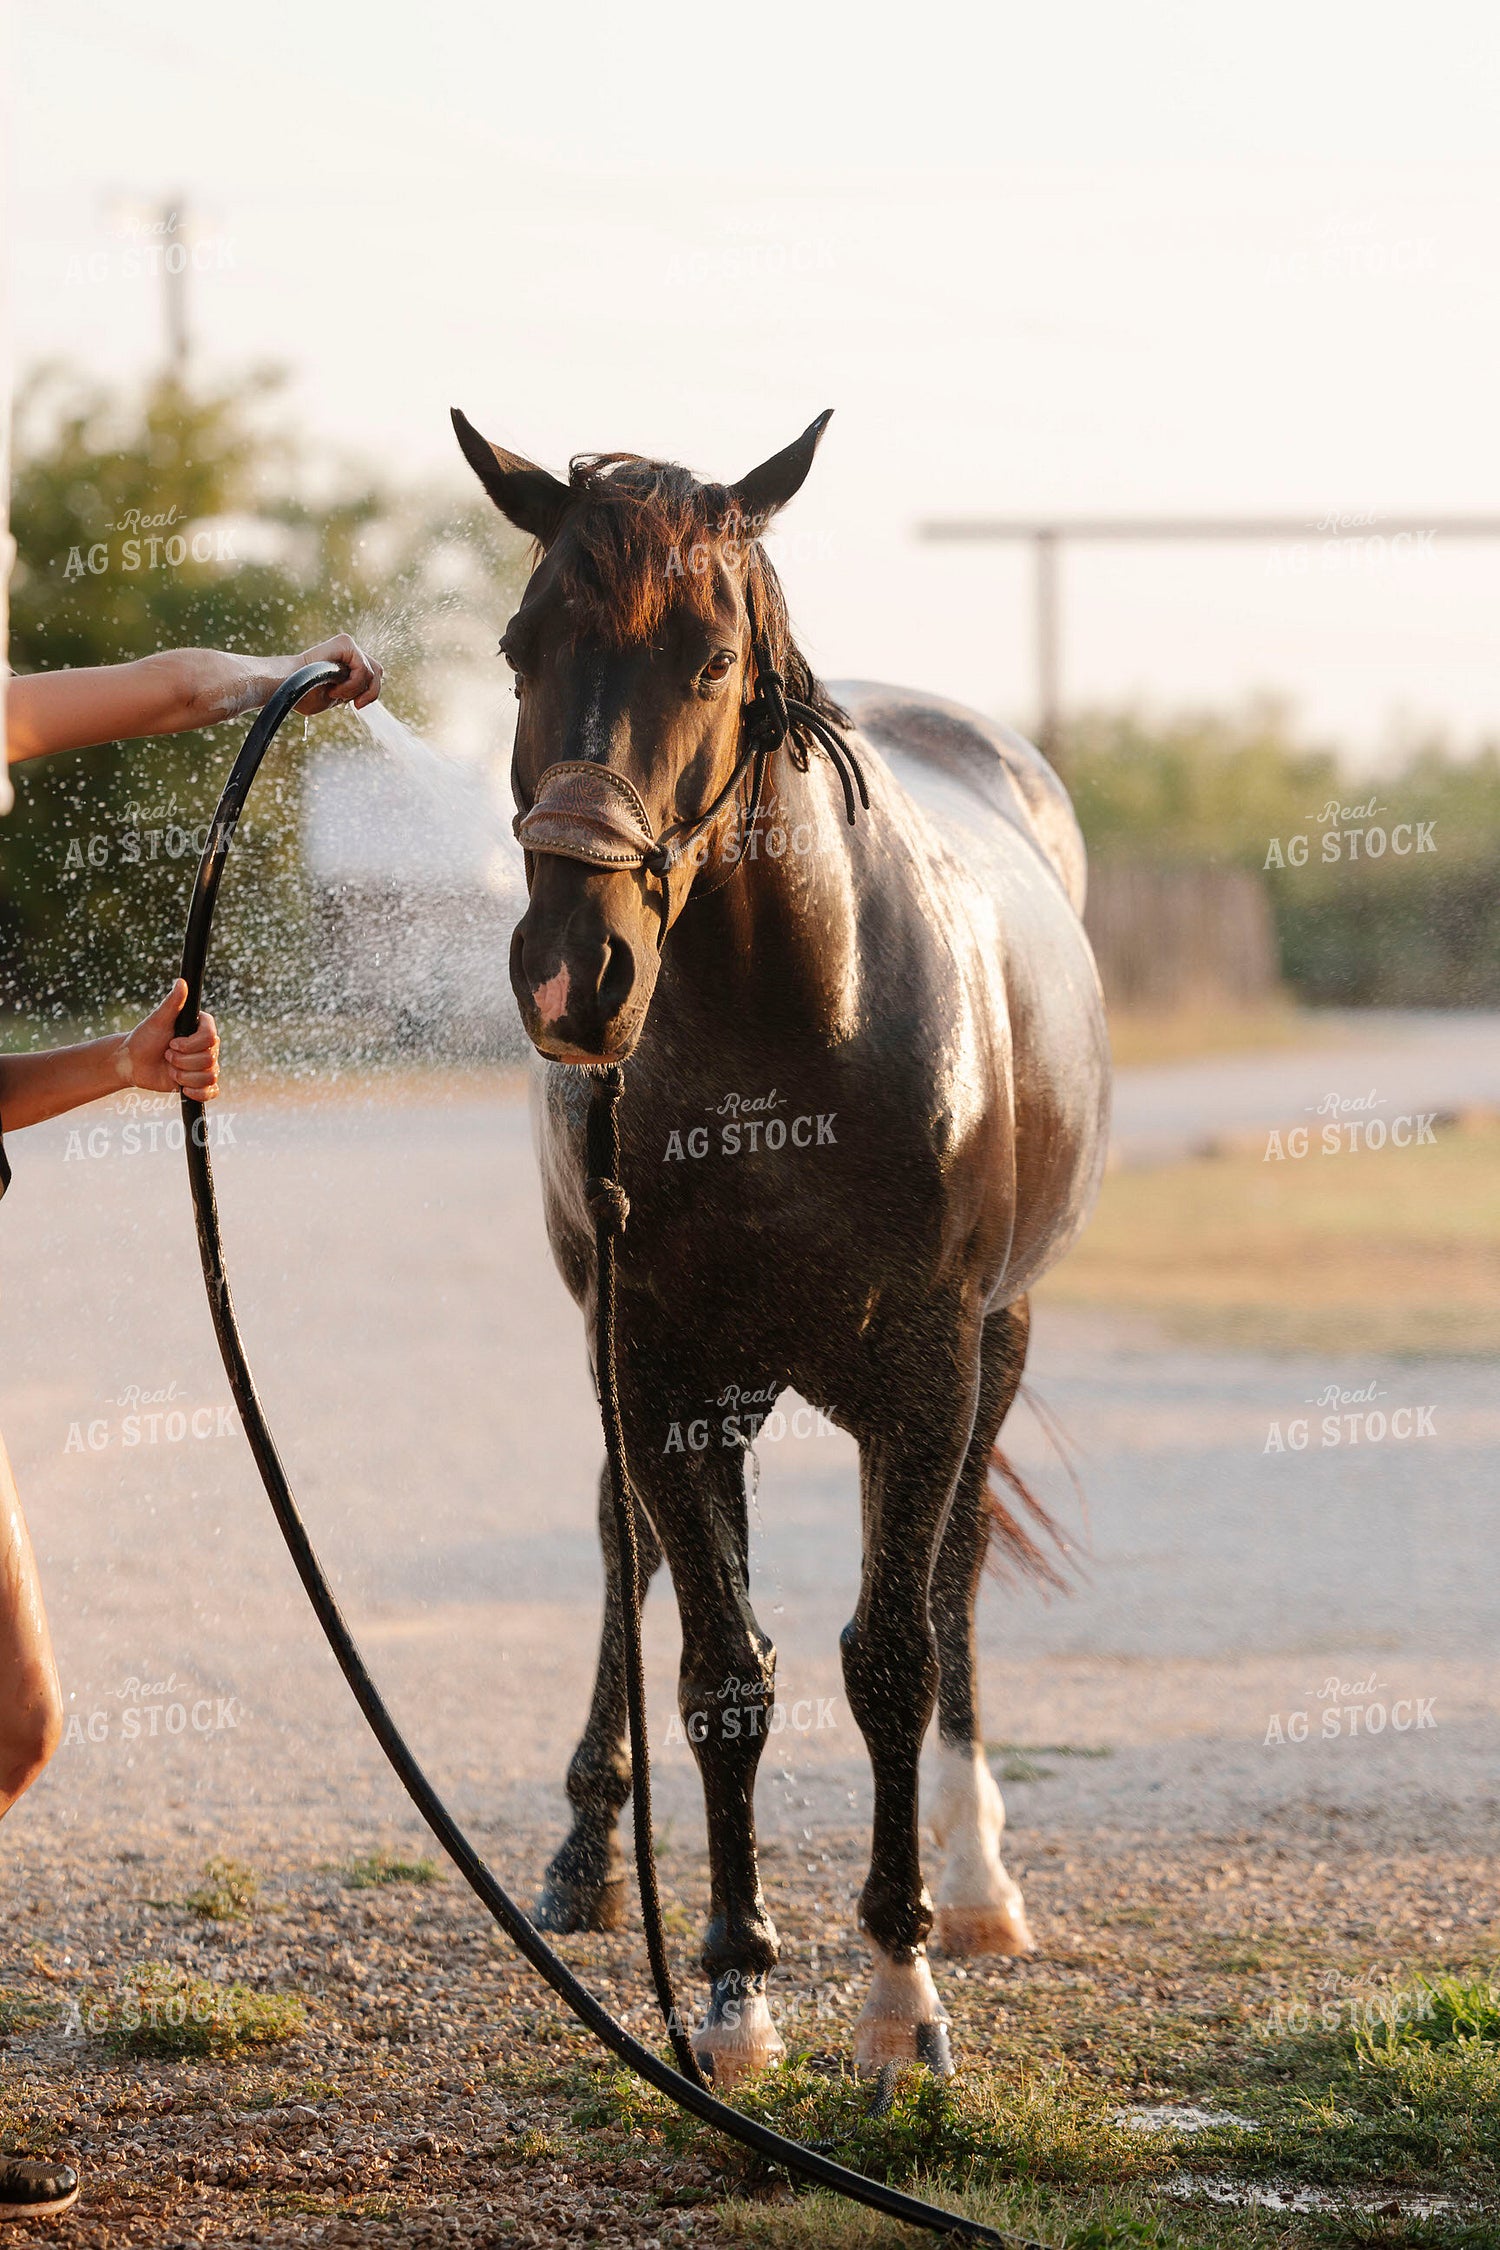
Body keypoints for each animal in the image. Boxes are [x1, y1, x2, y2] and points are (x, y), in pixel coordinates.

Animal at [452, 405, 1110, 2084]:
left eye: (708, 658)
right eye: (520, 645)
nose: (577, 974)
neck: (792, 1032)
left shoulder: (926, 1376)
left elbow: (892, 1655)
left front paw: (899, 1995)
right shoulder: (664, 1371)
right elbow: (723, 1672)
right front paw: (737, 1991)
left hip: (1002, 1342)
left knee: (954, 1573)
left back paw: (976, 1880)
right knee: (622, 1546)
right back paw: (585, 1852)